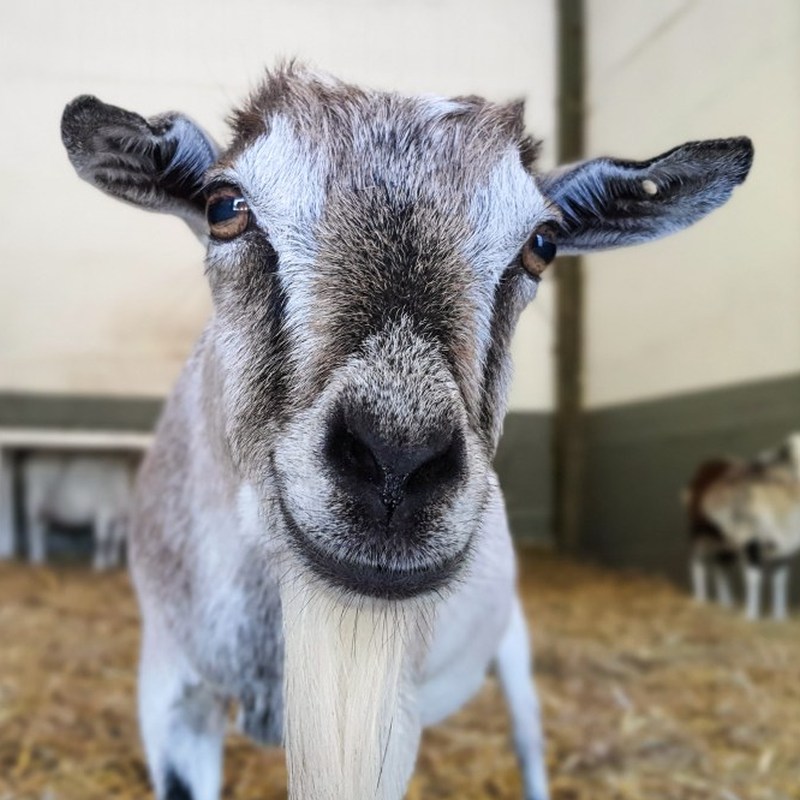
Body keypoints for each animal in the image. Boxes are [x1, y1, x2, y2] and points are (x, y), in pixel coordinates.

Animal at [61, 64, 752, 800]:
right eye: (224, 207)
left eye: (542, 245)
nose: (396, 460)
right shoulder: (169, 689)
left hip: (512, 636)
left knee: (528, 735)